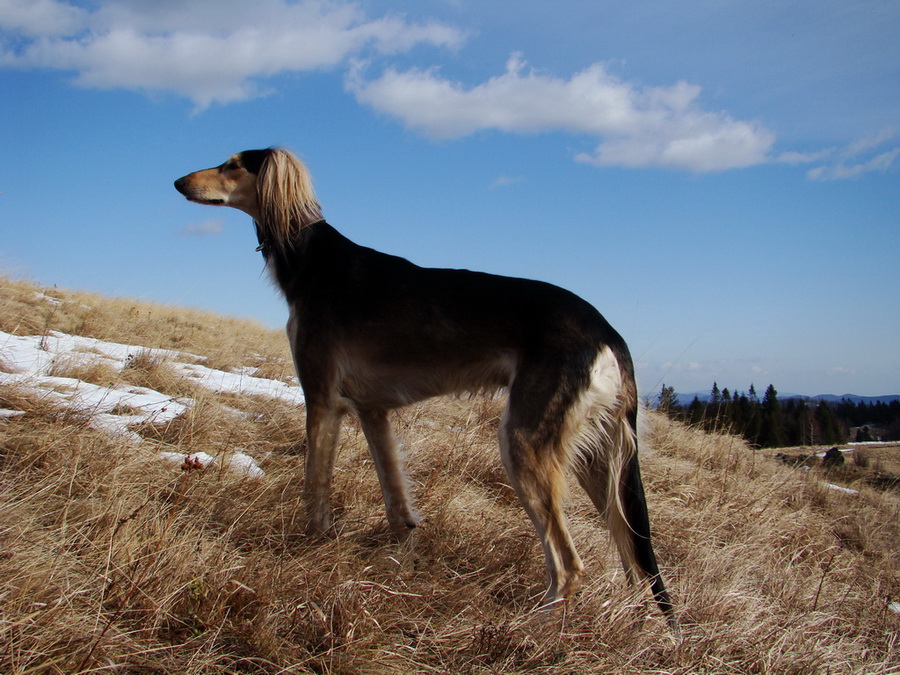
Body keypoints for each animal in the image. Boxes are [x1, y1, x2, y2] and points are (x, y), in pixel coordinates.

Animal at [174, 148, 676, 628]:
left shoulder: (321, 398)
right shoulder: (372, 410)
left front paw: (307, 547)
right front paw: (401, 549)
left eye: (232, 165)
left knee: (570, 566)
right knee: (634, 564)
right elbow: (394, 493)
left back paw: (531, 627)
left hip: (524, 442)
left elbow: (315, 484)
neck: (312, 258)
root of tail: (607, 329)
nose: (178, 182)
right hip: (598, 461)